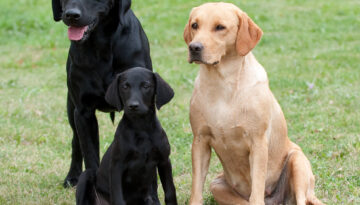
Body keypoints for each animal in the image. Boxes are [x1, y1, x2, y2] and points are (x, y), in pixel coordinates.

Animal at [51, 0, 152, 187]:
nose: (71, 14)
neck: (101, 45)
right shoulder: (83, 112)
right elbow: (90, 155)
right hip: (71, 110)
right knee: (76, 143)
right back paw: (72, 176)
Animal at [76, 67, 177, 205]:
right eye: (125, 86)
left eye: (146, 86)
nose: (133, 106)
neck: (141, 129)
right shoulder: (116, 166)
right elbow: (118, 198)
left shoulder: (164, 161)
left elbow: (170, 192)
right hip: (86, 175)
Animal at [184, 2, 324, 205]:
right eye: (195, 25)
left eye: (220, 27)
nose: (194, 47)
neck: (223, 84)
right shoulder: (200, 141)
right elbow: (196, 189)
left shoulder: (257, 143)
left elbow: (257, 187)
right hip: (217, 185)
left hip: (297, 161)